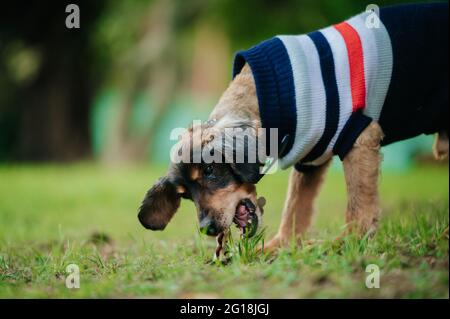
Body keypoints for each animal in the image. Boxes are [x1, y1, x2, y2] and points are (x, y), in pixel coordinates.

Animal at [139, 3, 448, 255]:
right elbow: (296, 208)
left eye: (210, 170)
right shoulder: (311, 159)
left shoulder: (359, 138)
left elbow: (358, 205)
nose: (207, 228)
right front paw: (280, 246)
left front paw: (349, 242)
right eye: (185, 195)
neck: (261, 97)